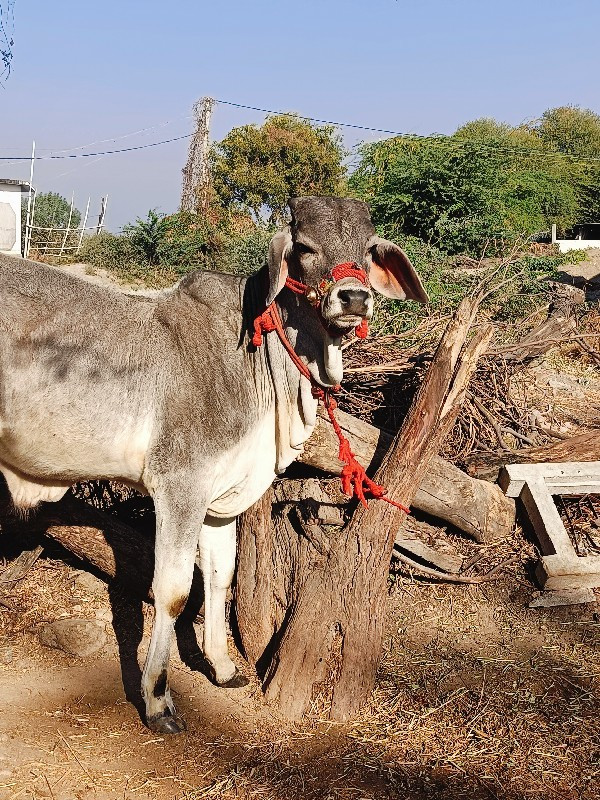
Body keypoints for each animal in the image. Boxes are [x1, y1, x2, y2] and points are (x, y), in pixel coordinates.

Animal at [2, 197, 428, 736]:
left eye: (370, 249)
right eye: (304, 247)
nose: (352, 297)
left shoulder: (220, 502)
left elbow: (221, 579)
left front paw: (223, 667)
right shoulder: (181, 487)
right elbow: (174, 591)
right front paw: (158, 699)